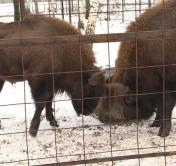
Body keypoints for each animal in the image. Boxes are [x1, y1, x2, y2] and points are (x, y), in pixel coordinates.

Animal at [95, 0, 176, 137]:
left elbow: (166, 105)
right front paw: (154, 125)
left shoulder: (169, 83)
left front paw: (162, 133)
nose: (102, 117)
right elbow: (161, 105)